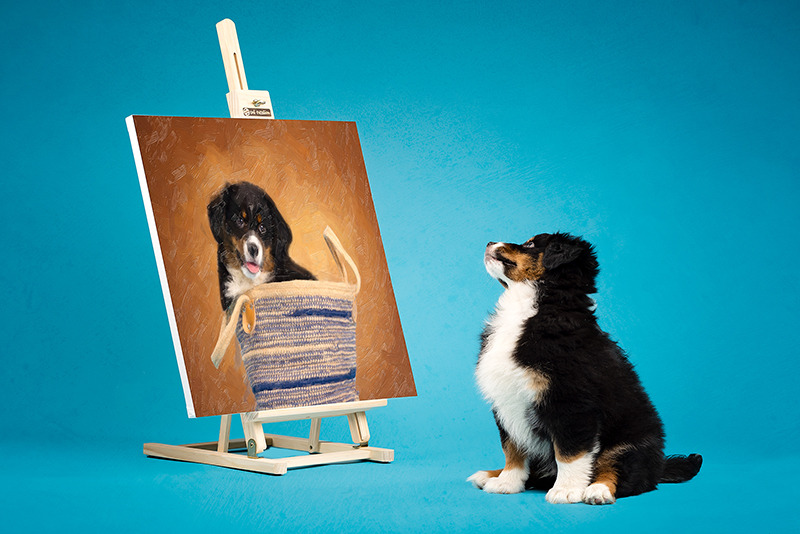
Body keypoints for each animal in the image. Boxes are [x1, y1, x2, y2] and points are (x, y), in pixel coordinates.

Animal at [468, 234, 700, 506]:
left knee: (622, 471)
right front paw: (507, 482)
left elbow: (570, 452)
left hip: (632, 443)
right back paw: (488, 475)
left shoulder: (571, 402)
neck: (528, 308)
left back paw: (598, 490)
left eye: (530, 244)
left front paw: (566, 490)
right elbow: (513, 447)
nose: (489, 242)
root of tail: (660, 466)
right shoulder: (506, 401)